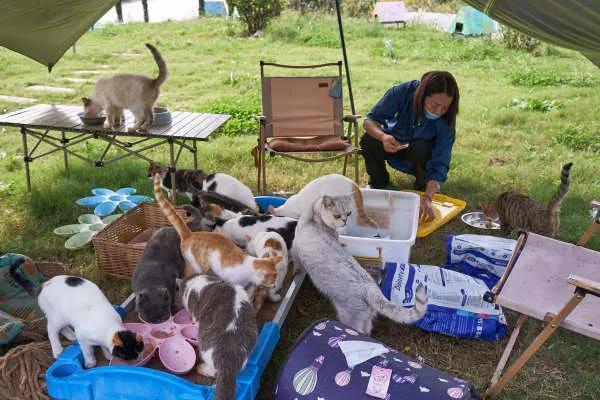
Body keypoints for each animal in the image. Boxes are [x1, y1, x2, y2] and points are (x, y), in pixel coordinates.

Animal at [9, 258, 144, 368]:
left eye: (141, 349)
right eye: (130, 355)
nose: (139, 358)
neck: (110, 327)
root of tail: (43, 285)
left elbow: (104, 347)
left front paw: (107, 355)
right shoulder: (83, 337)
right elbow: (87, 351)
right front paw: (90, 362)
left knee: (60, 327)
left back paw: (71, 336)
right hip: (58, 317)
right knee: (51, 330)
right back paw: (57, 349)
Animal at [290, 194, 426, 334]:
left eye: (349, 213)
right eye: (337, 216)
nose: (345, 220)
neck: (314, 218)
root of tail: (370, 288)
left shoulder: (294, 248)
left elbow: (297, 264)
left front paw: (296, 272)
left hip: (351, 320)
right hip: (367, 319)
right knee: (367, 331)